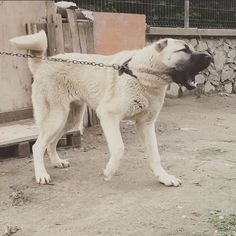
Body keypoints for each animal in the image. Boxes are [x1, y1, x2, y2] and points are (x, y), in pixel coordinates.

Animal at [10, 30, 211, 186]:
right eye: (184, 50)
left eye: (191, 48)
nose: (209, 56)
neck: (141, 73)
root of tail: (43, 63)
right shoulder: (108, 115)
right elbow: (119, 148)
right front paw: (109, 172)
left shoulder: (146, 124)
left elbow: (155, 155)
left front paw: (164, 177)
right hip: (57, 117)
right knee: (37, 146)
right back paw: (41, 175)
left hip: (69, 119)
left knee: (51, 142)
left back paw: (57, 162)